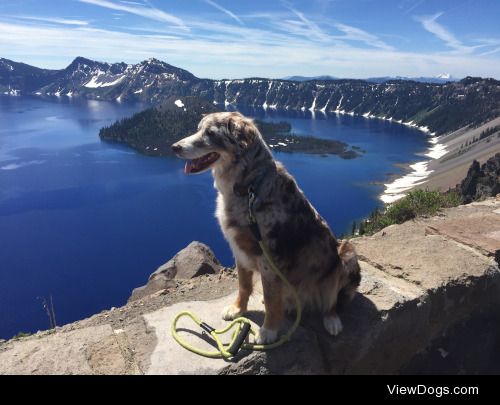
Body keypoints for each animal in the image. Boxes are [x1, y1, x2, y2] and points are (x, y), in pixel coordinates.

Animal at [172, 112, 360, 342]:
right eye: (198, 129)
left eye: (210, 133)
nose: (174, 147)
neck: (248, 188)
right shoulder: (239, 248)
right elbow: (244, 285)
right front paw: (238, 309)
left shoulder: (269, 260)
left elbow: (271, 300)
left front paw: (268, 331)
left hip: (345, 253)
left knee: (332, 300)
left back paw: (332, 320)